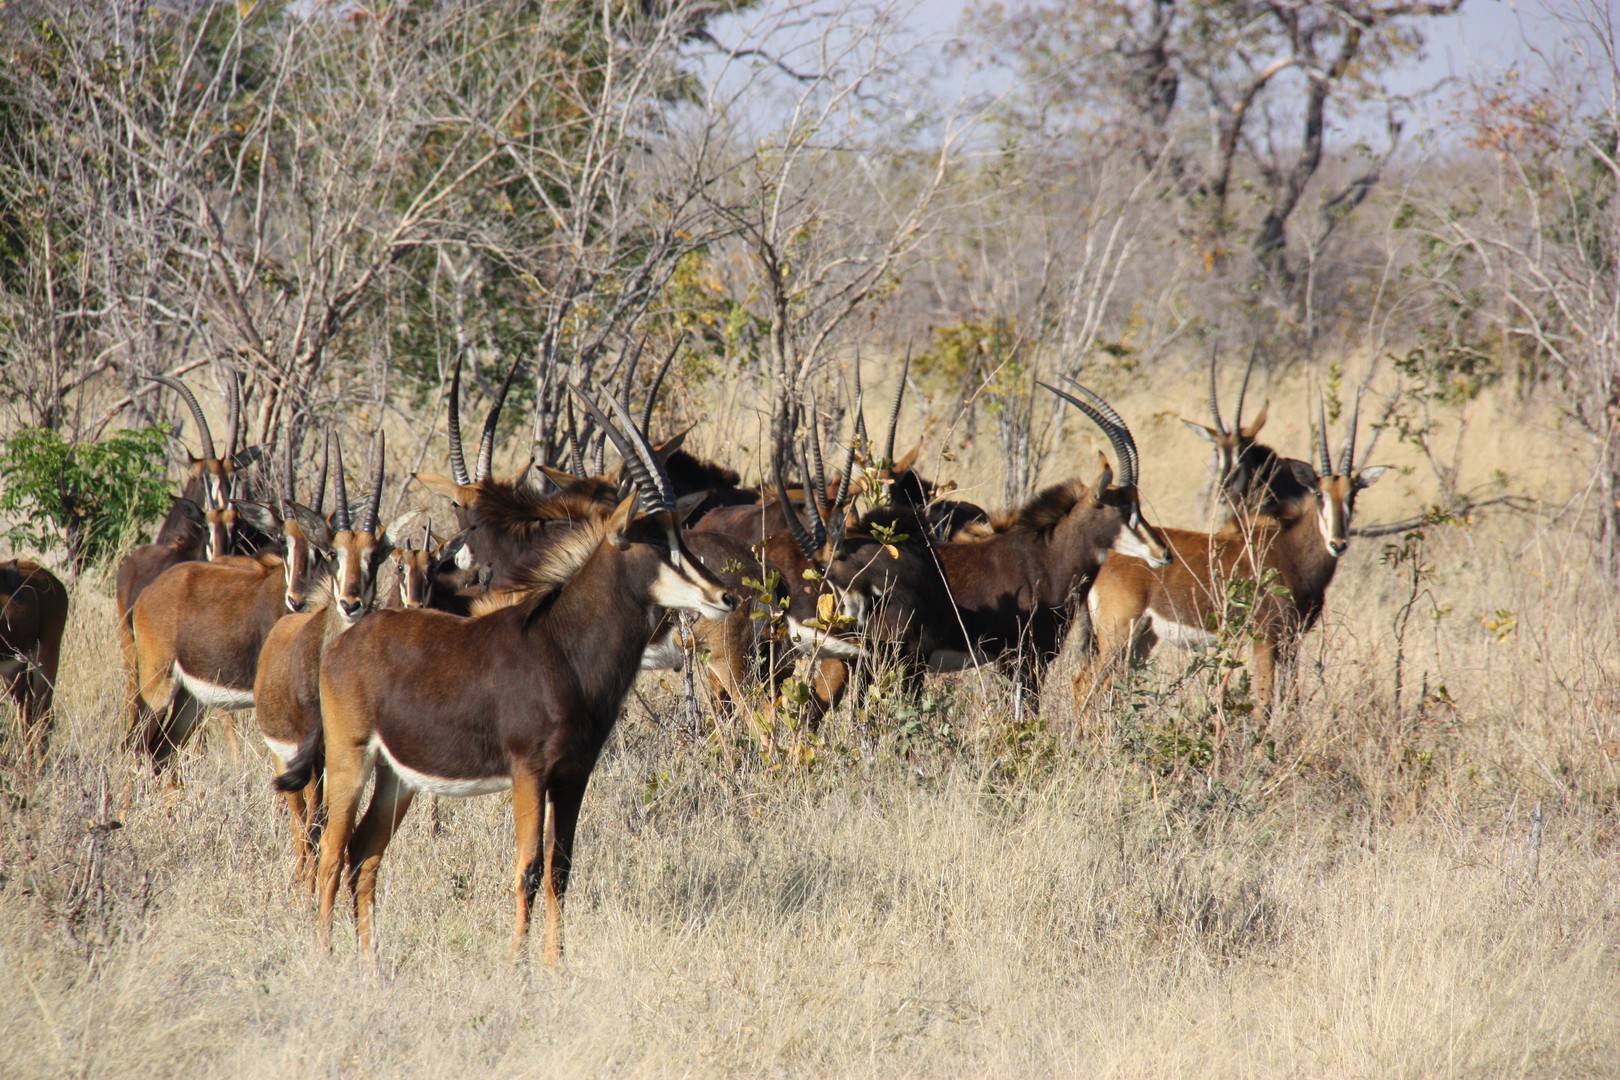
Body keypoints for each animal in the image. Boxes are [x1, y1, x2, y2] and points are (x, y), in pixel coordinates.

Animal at [278, 395, 735, 965]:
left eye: (682, 534)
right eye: (650, 541)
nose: (725, 595)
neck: (561, 647)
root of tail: (342, 641)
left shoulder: (572, 777)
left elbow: (561, 870)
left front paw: (555, 965)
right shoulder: (529, 774)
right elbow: (529, 869)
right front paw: (519, 965)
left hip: (396, 779)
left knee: (365, 854)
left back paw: (370, 963)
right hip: (349, 762)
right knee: (331, 854)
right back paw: (326, 956)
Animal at [1075, 393, 1393, 722]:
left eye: (1353, 494)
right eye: (1319, 493)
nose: (1338, 543)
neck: (1289, 552)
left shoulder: (1292, 642)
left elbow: (1292, 702)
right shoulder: (1265, 639)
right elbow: (1264, 705)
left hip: (1142, 638)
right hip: (1117, 634)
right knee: (1084, 685)